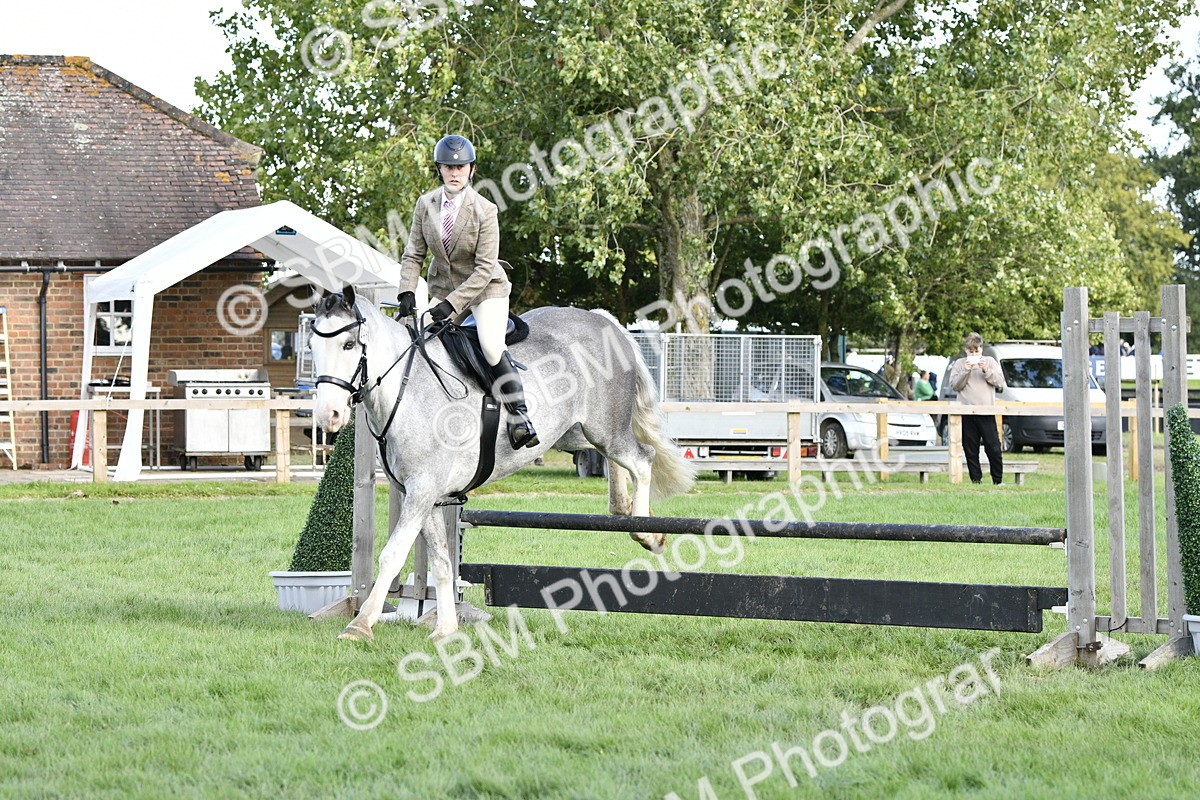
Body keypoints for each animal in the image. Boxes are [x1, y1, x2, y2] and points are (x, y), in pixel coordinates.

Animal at [309, 286, 695, 641]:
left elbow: (392, 555)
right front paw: (446, 628)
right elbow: (442, 562)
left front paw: (360, 624)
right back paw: (623, 507)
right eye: (312, 347)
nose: (328, 416)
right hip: (575, 432)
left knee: (643, 458)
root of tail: (605, 321)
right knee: (606, 458)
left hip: (606, 428)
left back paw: (646, 531)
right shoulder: (424, 495)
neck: (407, 392)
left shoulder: (422, 490)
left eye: (348, 345)